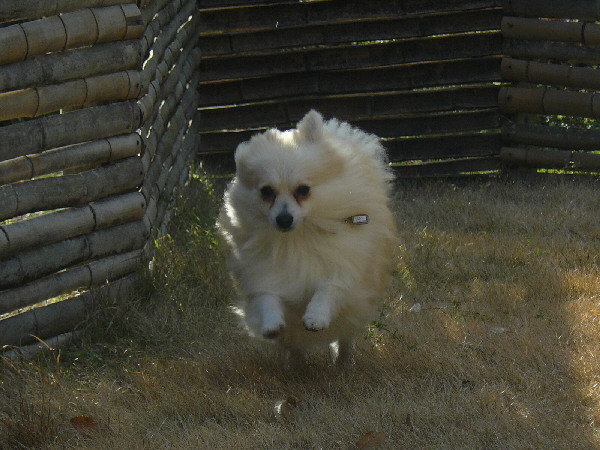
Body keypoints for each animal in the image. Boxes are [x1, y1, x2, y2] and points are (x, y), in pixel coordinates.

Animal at [217, 110, 397, 366]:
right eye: (266, 192)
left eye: (303, 190)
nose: (283, 218)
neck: (299, 237)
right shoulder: (262, 273)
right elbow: (267, 298)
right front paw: (271, 324)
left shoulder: (344, 268)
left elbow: (329, 290)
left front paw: (316, 316)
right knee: (295, 343)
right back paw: (297, 366)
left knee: (345, 335)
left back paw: (343, 363)